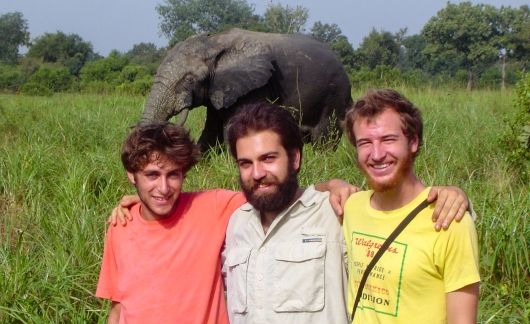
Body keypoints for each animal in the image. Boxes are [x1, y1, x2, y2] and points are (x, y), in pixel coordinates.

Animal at [142, 27, 352, 152]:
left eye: (189, 79)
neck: (216, 41)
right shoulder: (220, 90)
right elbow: (211, 133)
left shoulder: (255, 88)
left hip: (334, 96)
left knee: (324, 138)